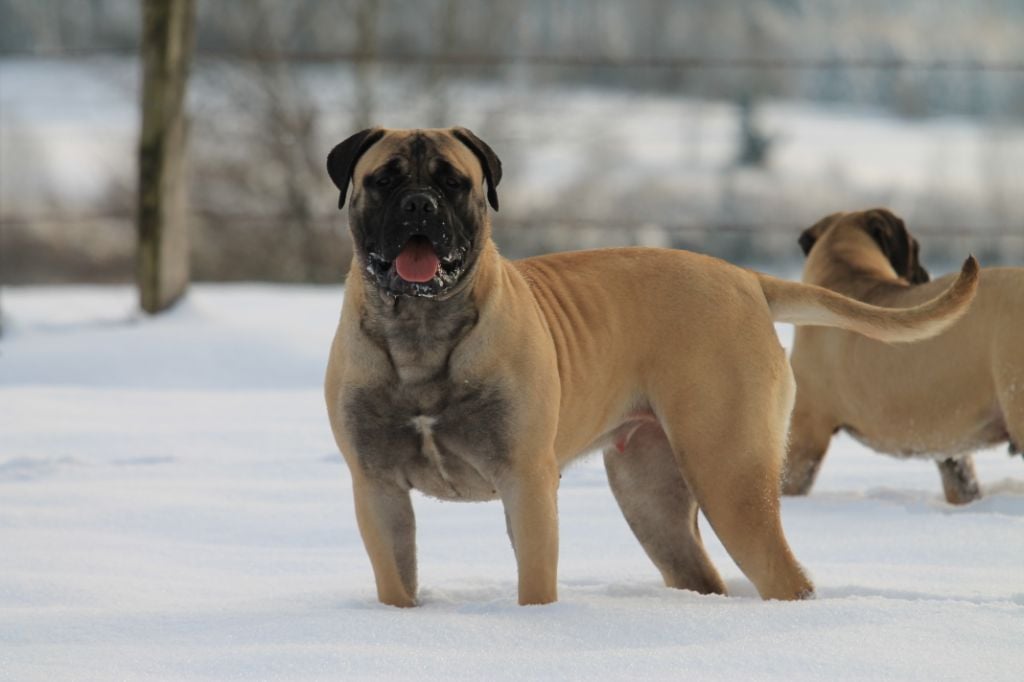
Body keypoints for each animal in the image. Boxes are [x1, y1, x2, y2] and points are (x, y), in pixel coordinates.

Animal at [324, 129, 978, 606]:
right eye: (384, 179)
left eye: (453, 182)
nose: (419, 204)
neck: (420, 326)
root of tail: (746, 279)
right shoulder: (376, 488)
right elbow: (396, 581)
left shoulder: (526, 481)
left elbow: (535, 582)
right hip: (649, 492)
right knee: (700, 572)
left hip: (730, 474)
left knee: (783, 575)